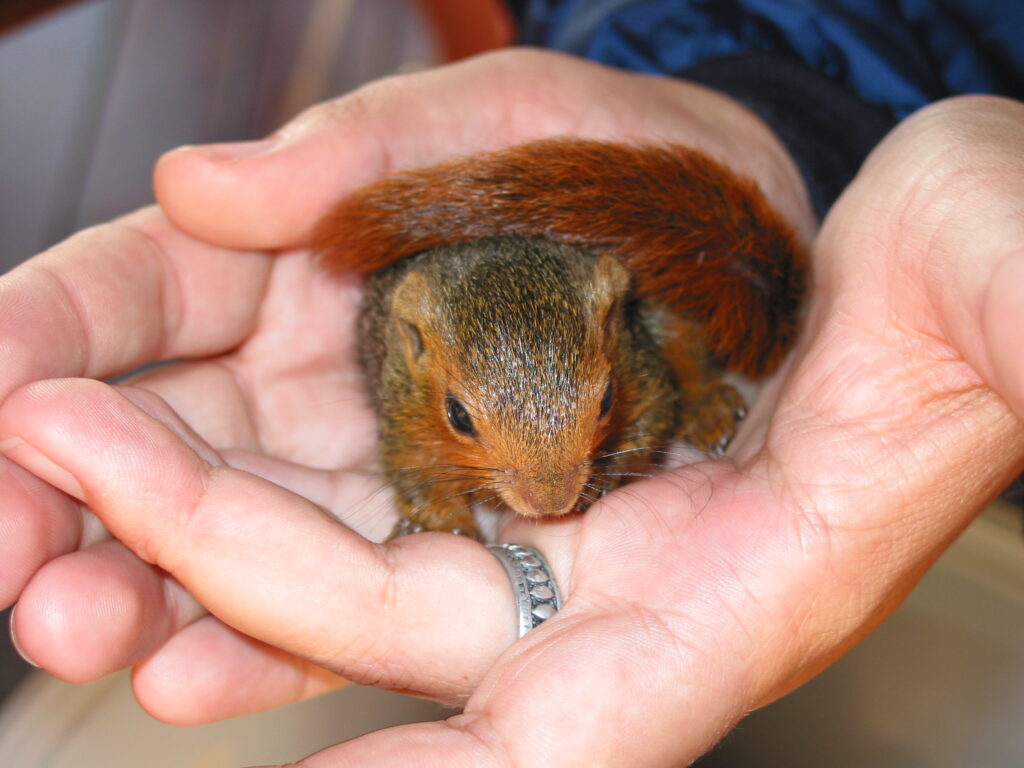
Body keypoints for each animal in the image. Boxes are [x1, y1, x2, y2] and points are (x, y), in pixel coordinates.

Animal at [312, 139, 806, 540]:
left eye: (607, 398)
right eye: (457, 415)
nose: (551, 503)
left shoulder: (636, 360)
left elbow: (652, 416)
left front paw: (609, 475)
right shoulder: (403, 408)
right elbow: (416, 476)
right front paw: (448, 530)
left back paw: (706, 406)